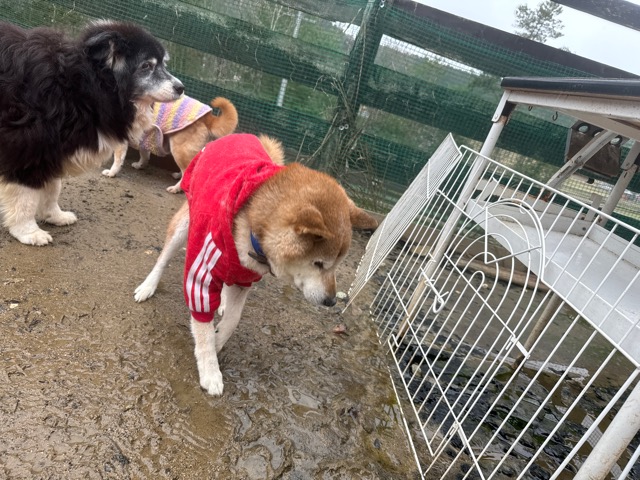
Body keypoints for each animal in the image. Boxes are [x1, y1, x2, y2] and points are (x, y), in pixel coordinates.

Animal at [0, 20, 184, 245]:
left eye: (163, 64)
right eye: (146, 66)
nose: (181, 88)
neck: (82, 86)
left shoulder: (56, 150)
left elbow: (53, 188)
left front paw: (55, 215)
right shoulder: (28, 145)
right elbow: (26, 195)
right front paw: (27, 231)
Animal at [102, 96, 238, 193]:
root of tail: (207, 117)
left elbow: (118, 159)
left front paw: (112, 172)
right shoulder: (145, 136)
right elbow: (144, 154)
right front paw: (141, 165)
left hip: (179, 149)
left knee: (187, 170)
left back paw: (176, 188)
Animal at [134, 133, 378, 396]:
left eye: (336, 265)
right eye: (319, 264)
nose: (331, 301)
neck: (253, 229)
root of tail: (240, 135)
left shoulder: (244, 278)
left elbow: (233, 319)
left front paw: (218, 338)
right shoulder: (203, 273)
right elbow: (203, 326)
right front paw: (210, 369)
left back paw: (221, 304)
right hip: (185, 224)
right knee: (163, 259)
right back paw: (148, 287)